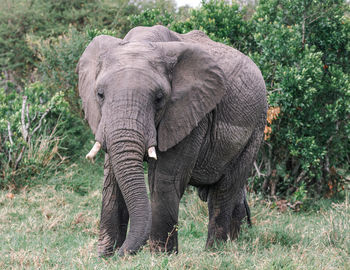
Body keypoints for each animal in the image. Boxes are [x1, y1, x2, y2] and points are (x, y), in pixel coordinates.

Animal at [77, 25, 268, 258]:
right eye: (100, 94)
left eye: (159, 98)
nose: (123, 253)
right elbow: (112, 180)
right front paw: (105, 256)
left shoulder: (190, 113)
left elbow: (163, 179)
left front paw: (160, 257)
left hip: (256, 128)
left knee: (225, 190)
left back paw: (215, 251)